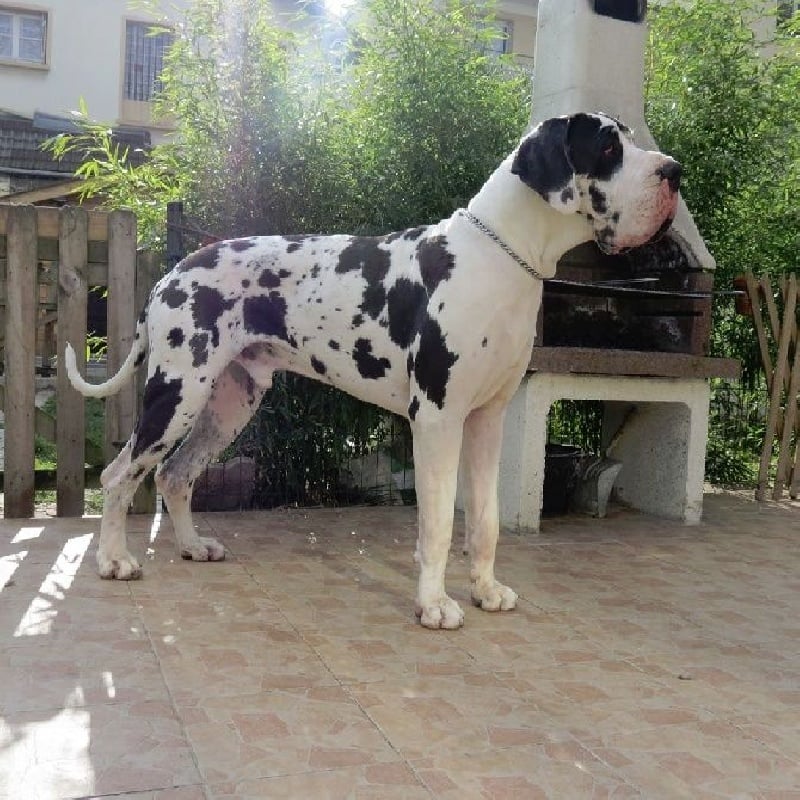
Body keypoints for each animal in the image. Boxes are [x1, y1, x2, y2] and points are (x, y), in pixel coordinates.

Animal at [66, 112, 681, 629]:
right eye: (608, 147)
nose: (674, 171)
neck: (499, 259)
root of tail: (171, 274)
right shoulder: (436, 419)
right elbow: (438, 523)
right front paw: (434, 603)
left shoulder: (488, 419)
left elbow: (484, 520)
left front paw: (485, 590)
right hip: (177, 393)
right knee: (119, 475)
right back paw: (114, 560)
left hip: (229, 403)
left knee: (176, 474)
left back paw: (193, 546)